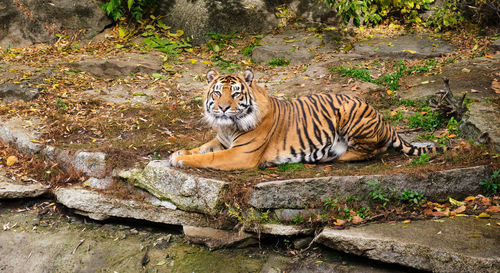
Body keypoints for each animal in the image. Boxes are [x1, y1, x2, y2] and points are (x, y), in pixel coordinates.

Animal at [169, 69, 446, 169]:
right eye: (217, 92)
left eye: (236, 94)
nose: (224, 108)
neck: (228, 127)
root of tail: (383, 117)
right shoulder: (222, 141)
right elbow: (202, 148)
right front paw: (180, 152)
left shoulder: (240, 154)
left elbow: (208, 157)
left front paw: (180, 160)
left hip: (350, 114)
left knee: (374, 150)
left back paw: (336, 156)